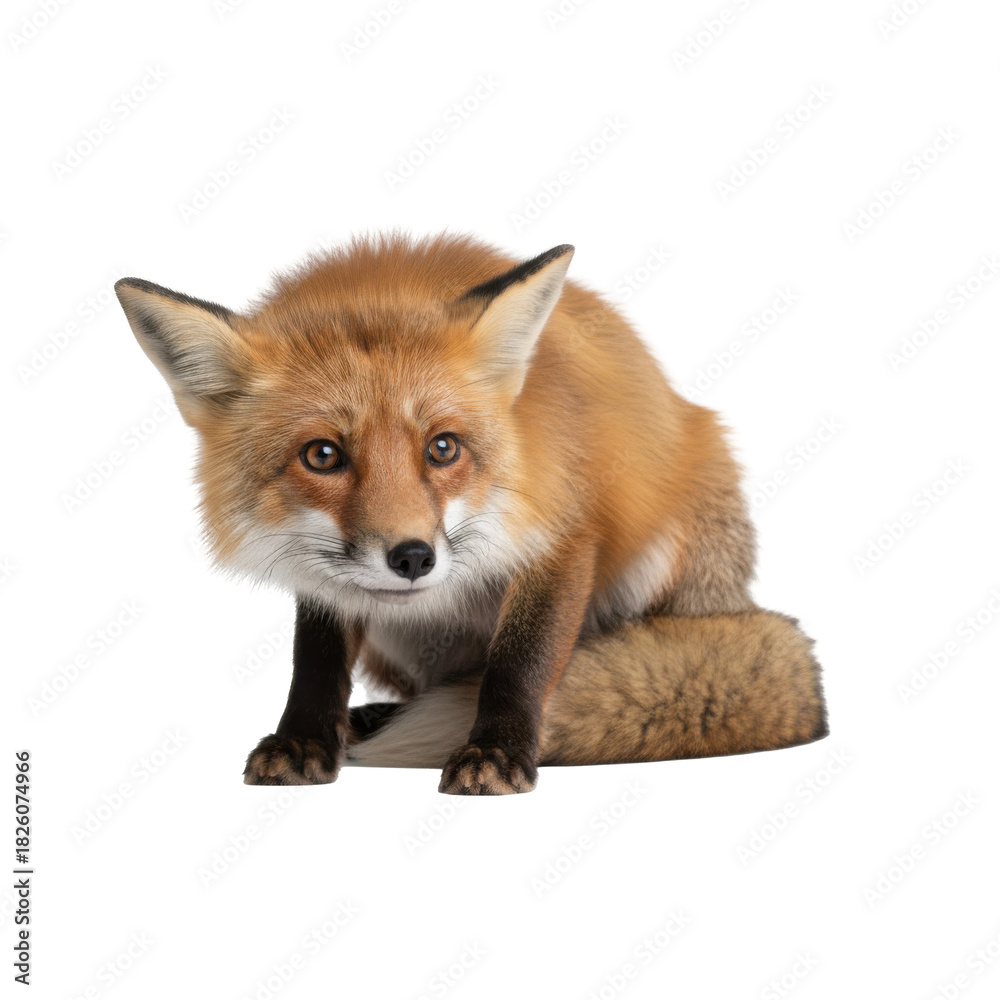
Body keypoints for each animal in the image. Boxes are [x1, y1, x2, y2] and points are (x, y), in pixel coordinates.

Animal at [114, 233, 827, 795]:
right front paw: (305, 741)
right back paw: (370, 720)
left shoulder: (562, 532)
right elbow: (314, 658)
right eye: (322, 455)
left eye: (443, 447)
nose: (412, 557)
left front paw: (498, 752)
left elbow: (522, 659)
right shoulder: (324, 576)